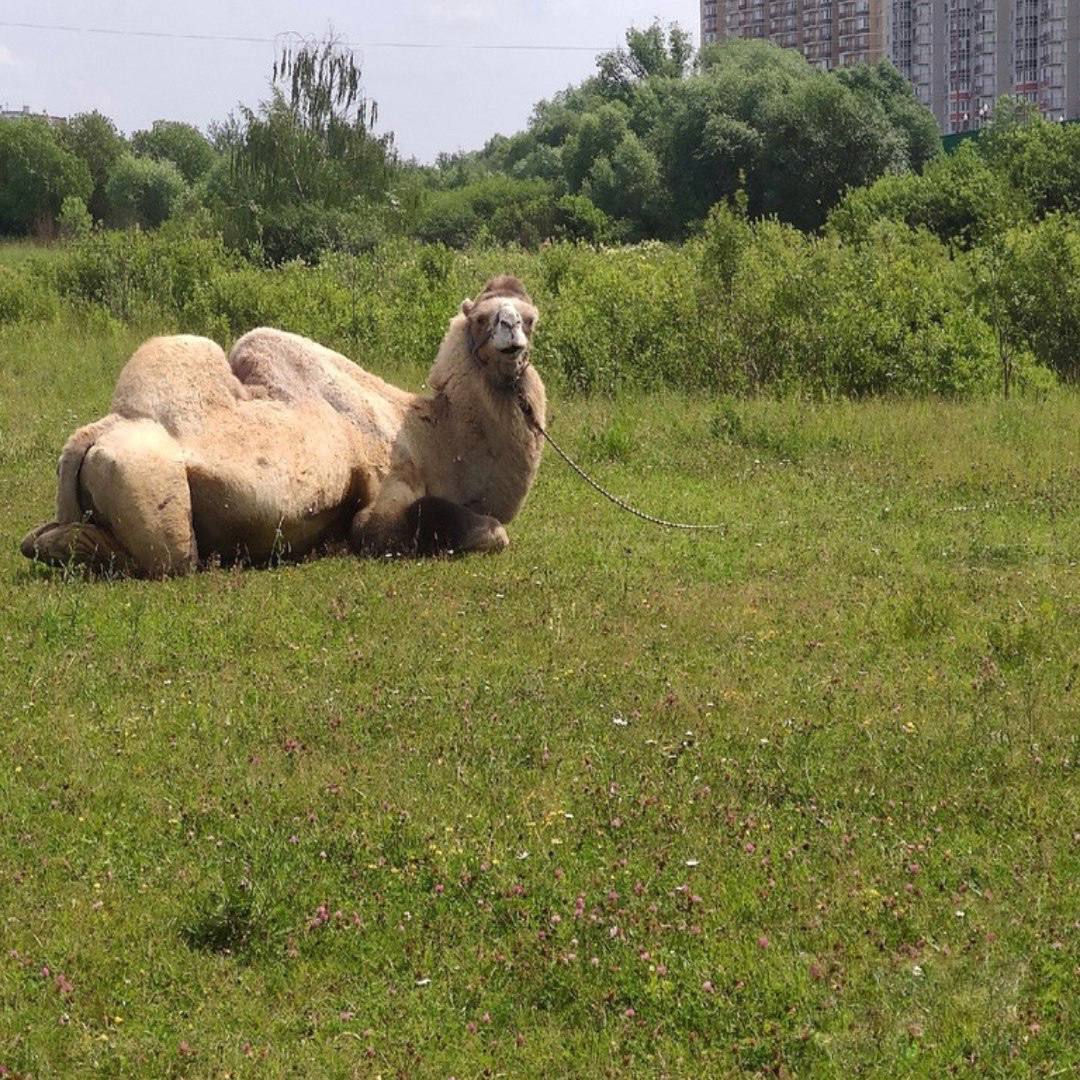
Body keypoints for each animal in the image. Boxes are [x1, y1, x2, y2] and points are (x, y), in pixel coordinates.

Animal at [23, 280, 548, 583]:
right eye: (482, 319)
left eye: (531, 319)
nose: (512, 339)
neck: (432, 434)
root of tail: (94, 434)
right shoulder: (384, 499)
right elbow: (487, 532)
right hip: (146, 488)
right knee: (168, 559)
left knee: (41, 539)